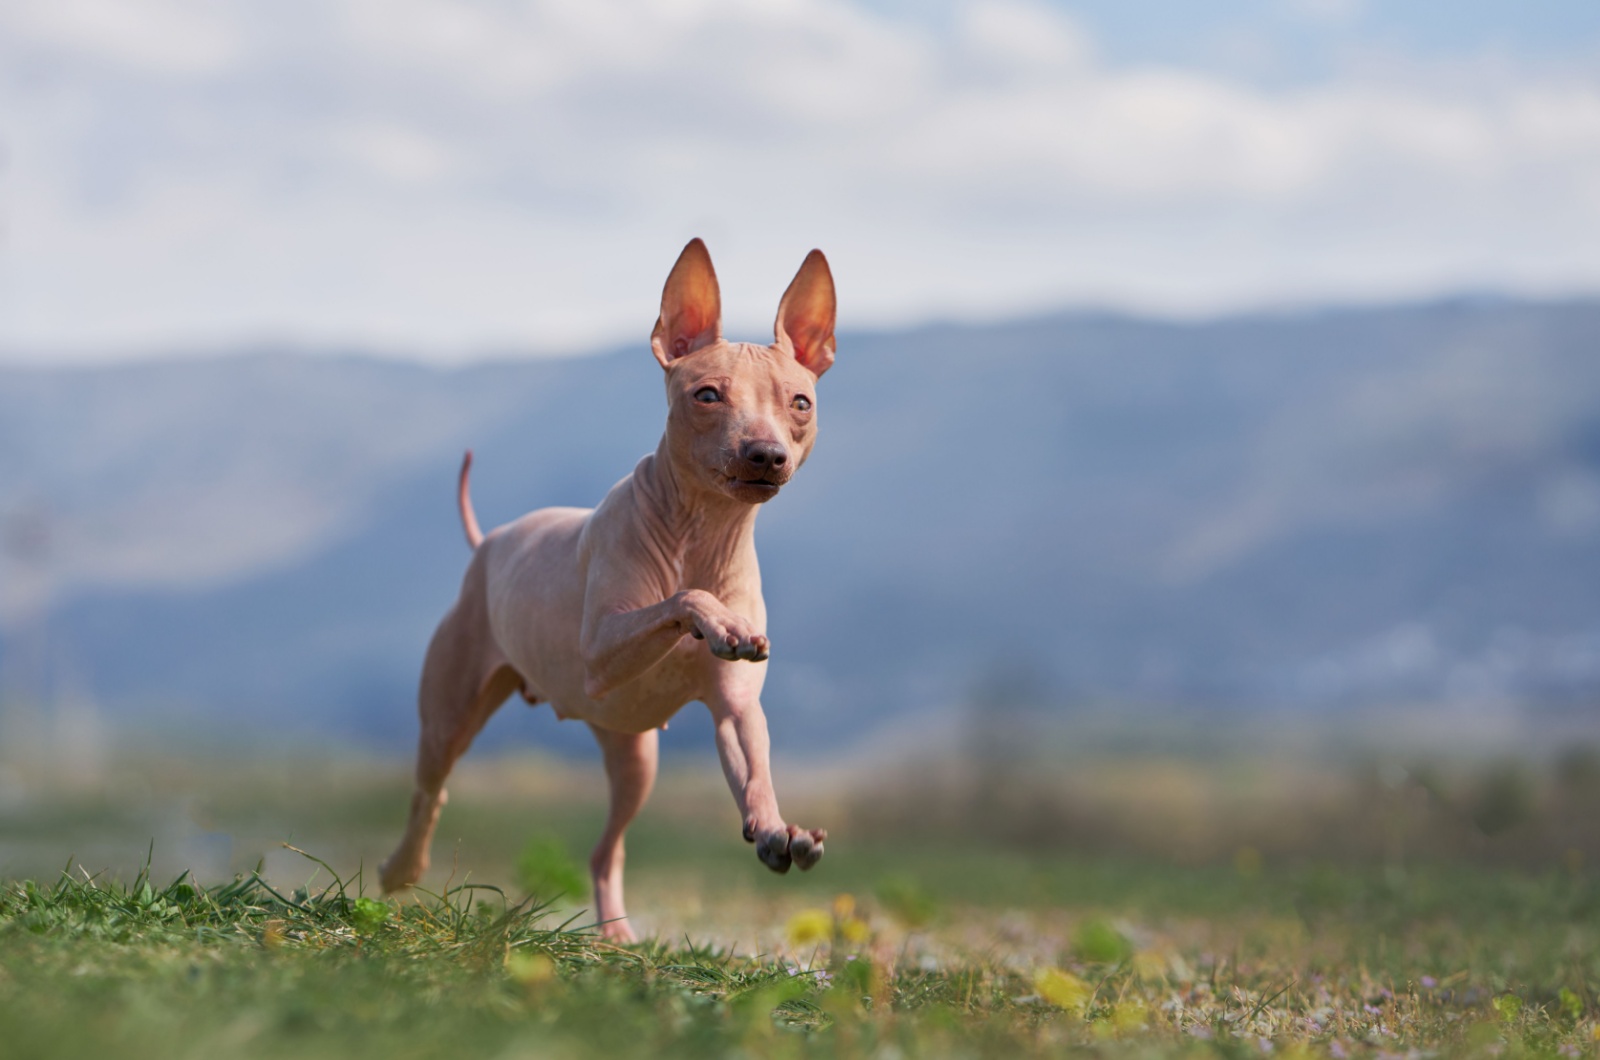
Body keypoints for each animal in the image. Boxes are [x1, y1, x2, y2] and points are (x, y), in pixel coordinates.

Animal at [384, 238, 838, 941]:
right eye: (708, 394)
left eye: (800, 403)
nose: (766, 455)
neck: (701, 537)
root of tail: (491, 540)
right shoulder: (601, 654)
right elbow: (683, 601)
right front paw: (720, 623)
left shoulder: (736, 709)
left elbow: (753, 768)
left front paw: (773, 832)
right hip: (450, 716)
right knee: (429, 793)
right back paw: (399, 870)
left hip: (633, 755)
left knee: (606, 849)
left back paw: (617, 934)